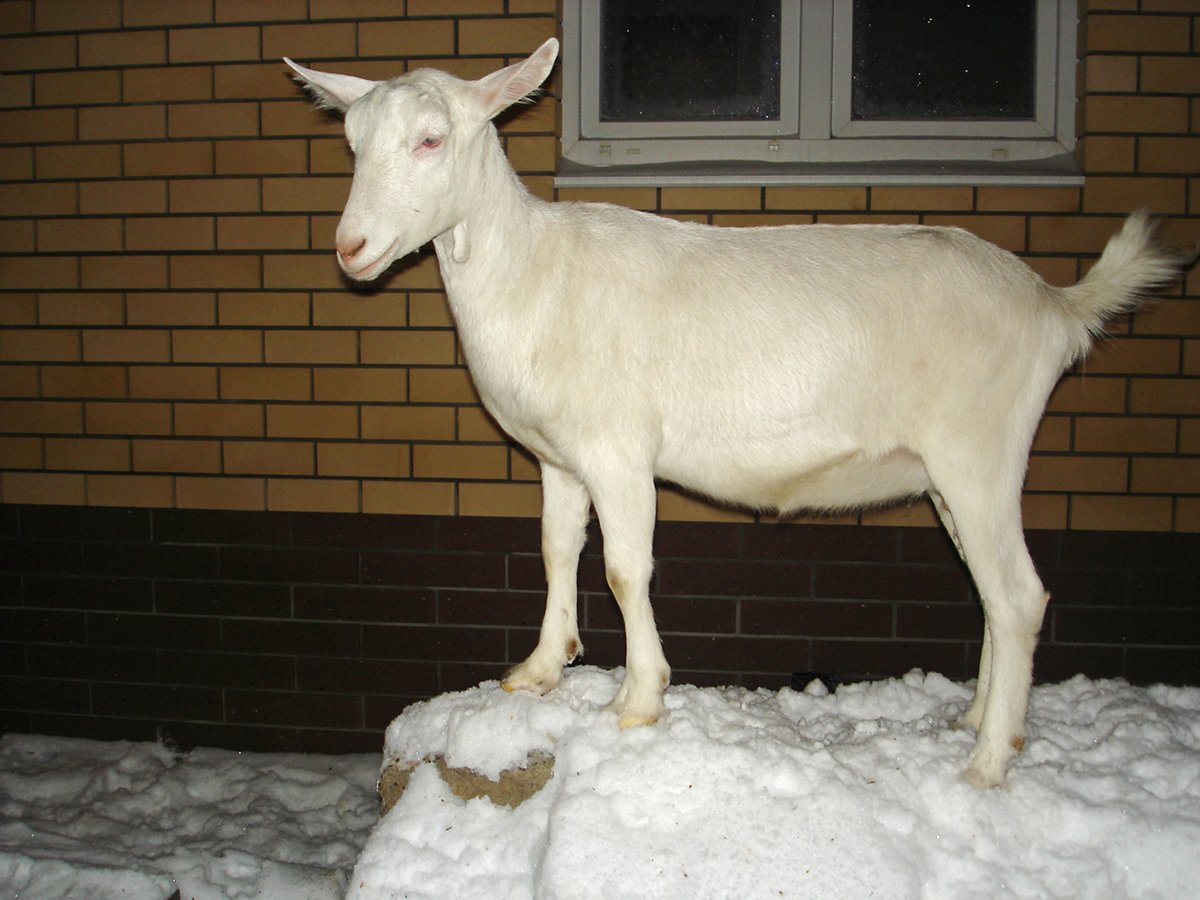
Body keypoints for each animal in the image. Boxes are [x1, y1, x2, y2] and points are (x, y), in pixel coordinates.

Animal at [286, 39, 1182, 789]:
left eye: (431, 140)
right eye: (353, 145)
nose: (350, 249)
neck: (532, 273)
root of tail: (1054, 307)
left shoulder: (618, 447)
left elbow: (624, 567)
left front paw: (639, 699)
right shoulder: (558, 457)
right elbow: (555, 549)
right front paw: (540, 669)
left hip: (980, 448)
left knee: (1020, 595)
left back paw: (988, 764)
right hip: (950, 472)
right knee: (990, 588)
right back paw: (981, 721)